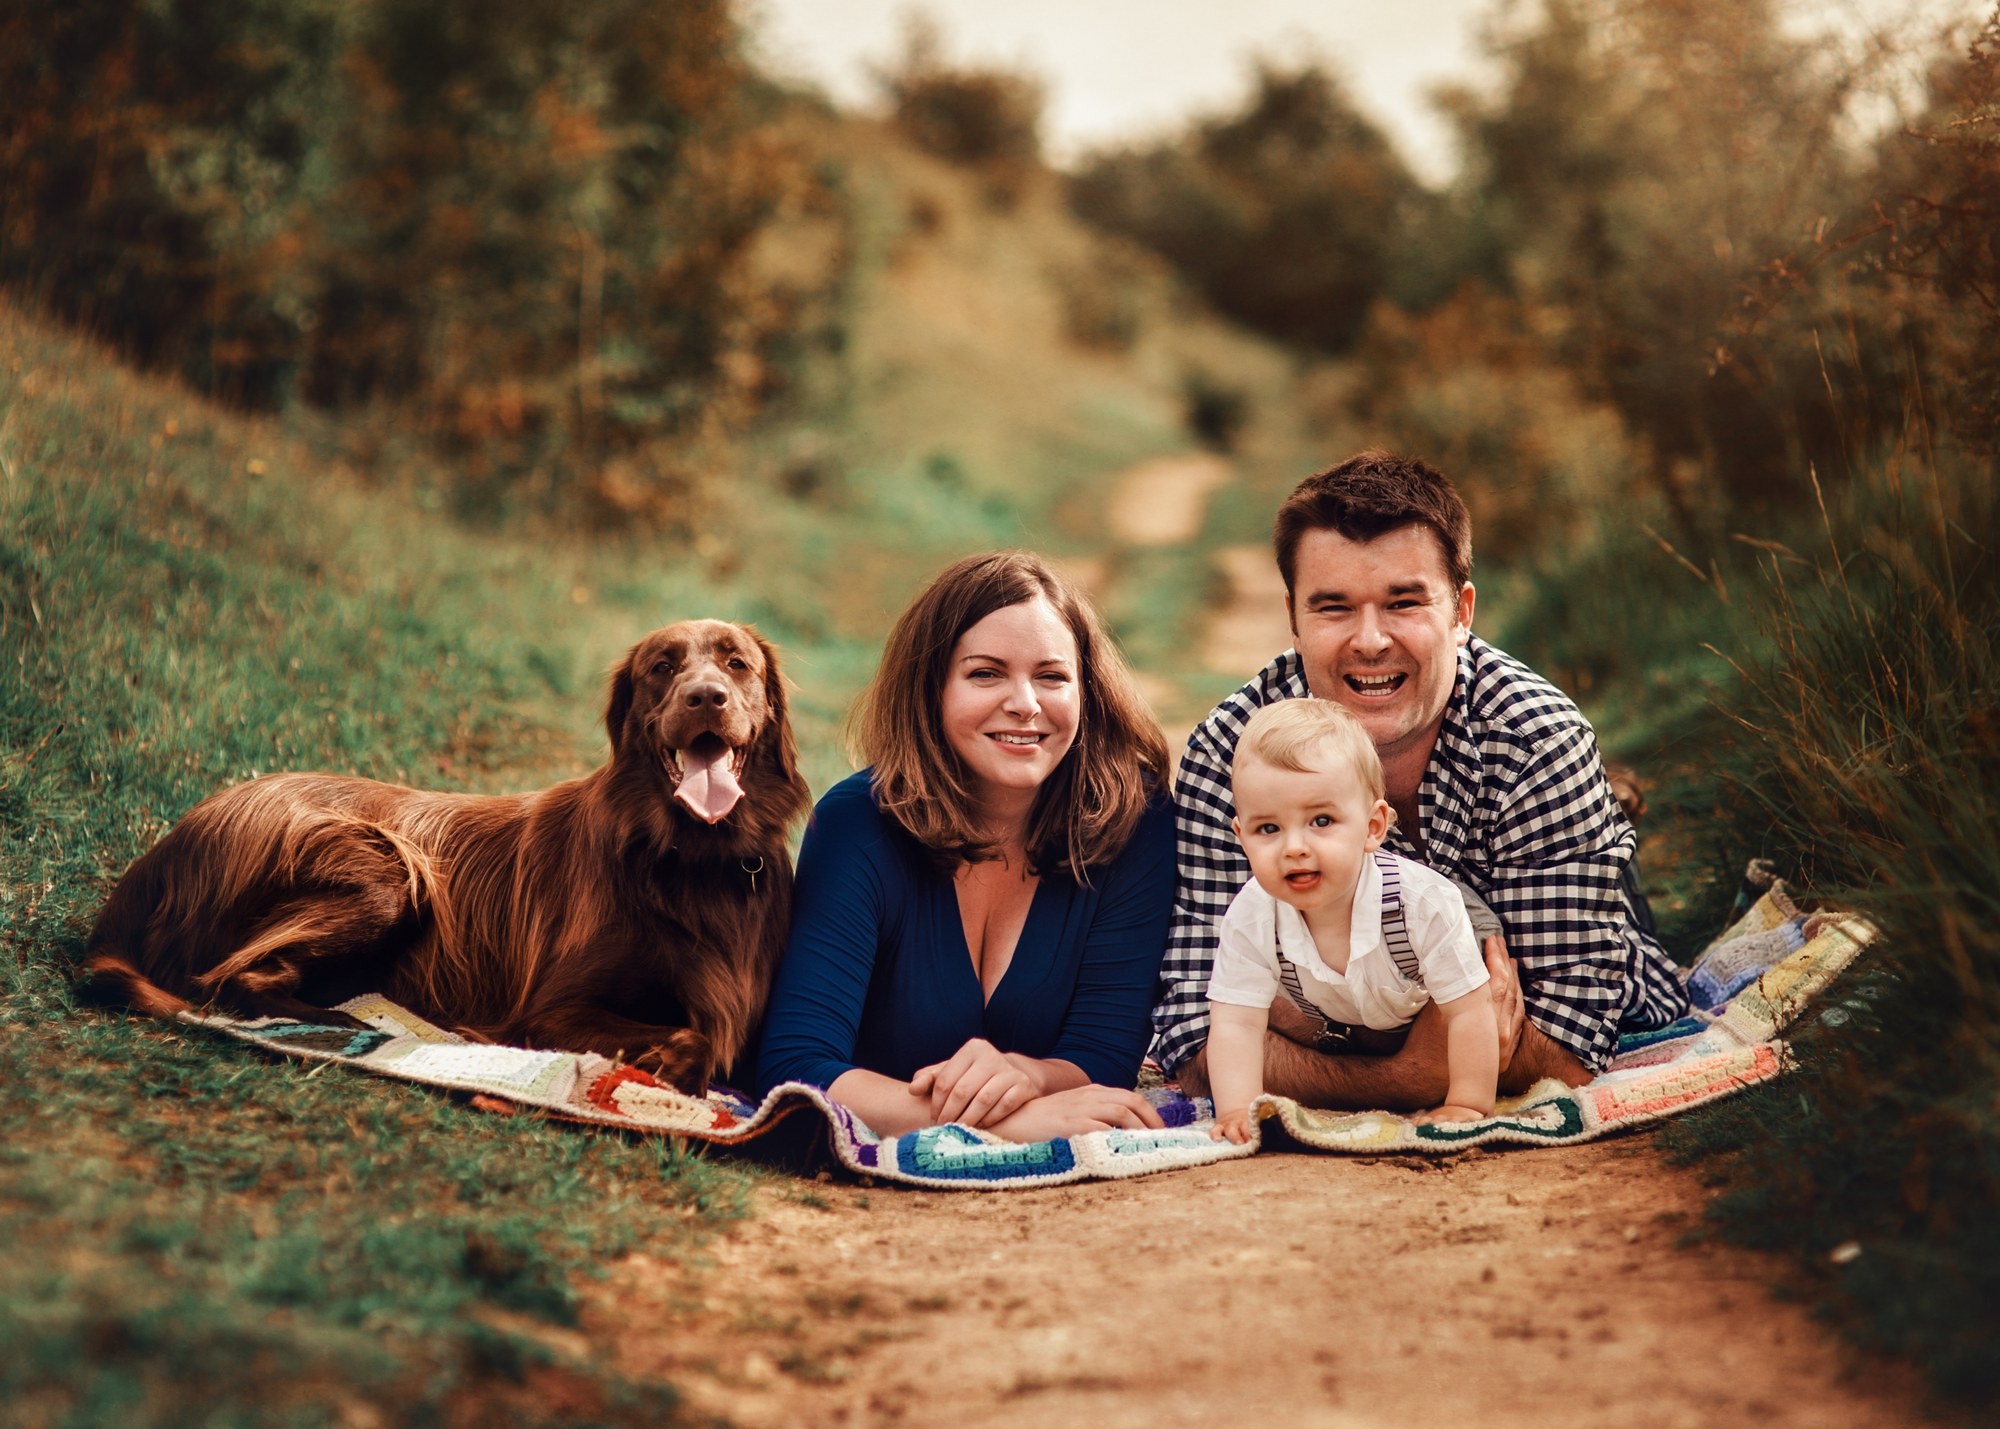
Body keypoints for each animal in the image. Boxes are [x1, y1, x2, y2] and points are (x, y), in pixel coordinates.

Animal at [78, 619, 811, 1095]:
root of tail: (163, 849)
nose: (705, 697)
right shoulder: (552, 1008)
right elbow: (692, 1038)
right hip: (390, 871)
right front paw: (677, 1062)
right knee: (228, 978)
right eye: (663, 666)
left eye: (736, 663)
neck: (692, 858)